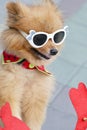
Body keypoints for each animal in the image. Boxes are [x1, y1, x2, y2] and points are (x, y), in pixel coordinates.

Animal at [0, 0, 67, 130]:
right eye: (39, 38)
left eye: (57, 37)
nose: (54, 51)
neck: (27, 67)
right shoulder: (9, 93)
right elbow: (13, 116)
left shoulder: (35, 99)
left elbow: (33, 122)